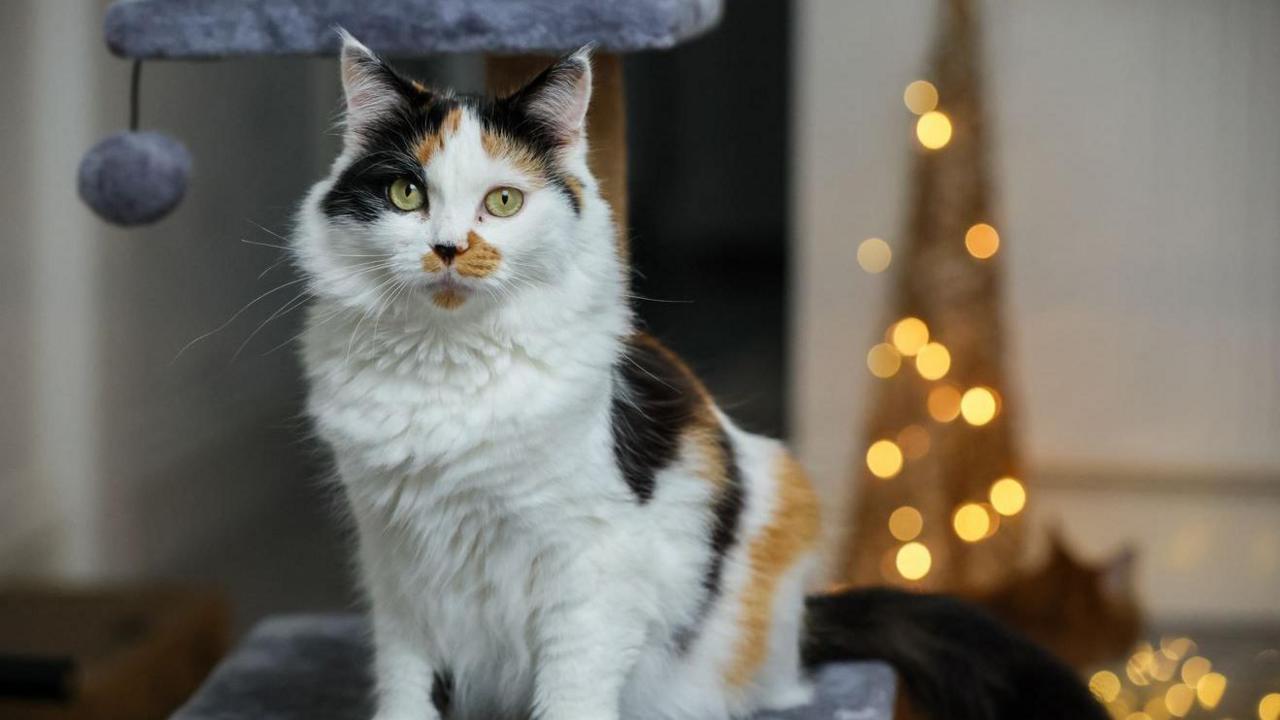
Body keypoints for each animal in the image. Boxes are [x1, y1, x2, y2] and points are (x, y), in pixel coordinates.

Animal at [294, 33, 1105, 717]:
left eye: (503, 201)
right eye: (407, 195)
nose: (449, 249)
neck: (448, 368)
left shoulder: (591, 563)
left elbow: (572, 691)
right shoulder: (398, 566)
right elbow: (407, 689)